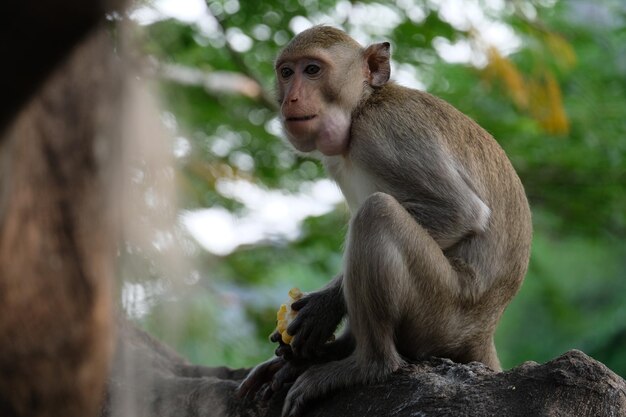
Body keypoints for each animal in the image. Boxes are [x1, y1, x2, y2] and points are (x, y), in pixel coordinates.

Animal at [236, 26, 528, 416]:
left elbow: (459, 211)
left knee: (377, 213)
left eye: (312, 70)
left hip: (443, 310)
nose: (291, 99)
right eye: (286, 73)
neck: (361, 107)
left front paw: (327, 304)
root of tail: (484, 329)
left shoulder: (384, 135)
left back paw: (365, 365)